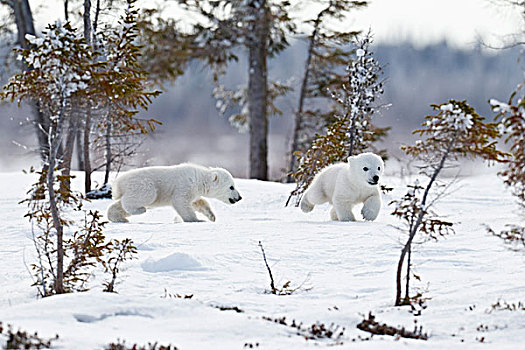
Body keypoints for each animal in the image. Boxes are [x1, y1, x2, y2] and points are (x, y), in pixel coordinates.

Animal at [108, 163, 244, 223]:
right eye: (231, 187)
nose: (240, 197)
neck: (199, 179)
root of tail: (118, 183)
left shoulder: (193, 191)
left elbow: (198, 202)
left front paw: (211, 216)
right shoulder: (184, 185)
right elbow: (181, 202)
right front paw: (197, 220)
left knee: (118, 205)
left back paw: (119, 218)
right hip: (144, 184)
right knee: (144, 196)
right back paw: (140, 210)